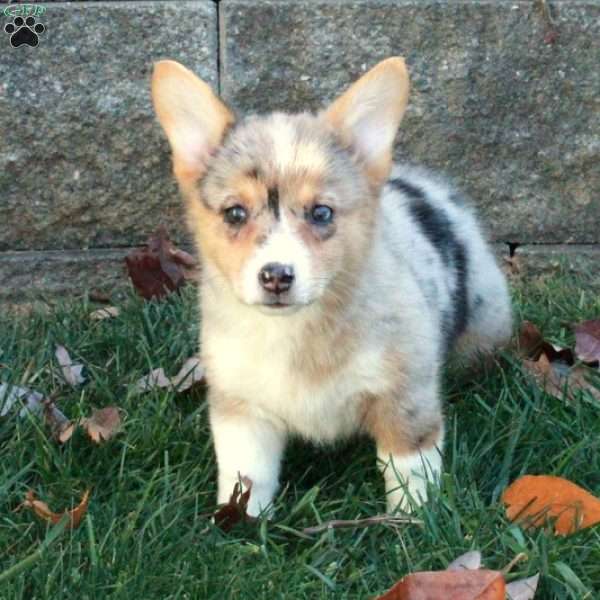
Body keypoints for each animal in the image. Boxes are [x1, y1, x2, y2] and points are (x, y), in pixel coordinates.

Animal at [151, 57, 510, 516]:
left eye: (321, 213)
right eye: (234, 213)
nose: (276, 275)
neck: (294, 329)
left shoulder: (404, 398)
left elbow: (409, 471)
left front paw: (412, 521)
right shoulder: (243, 410)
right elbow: (247, 477)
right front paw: (241, 521)